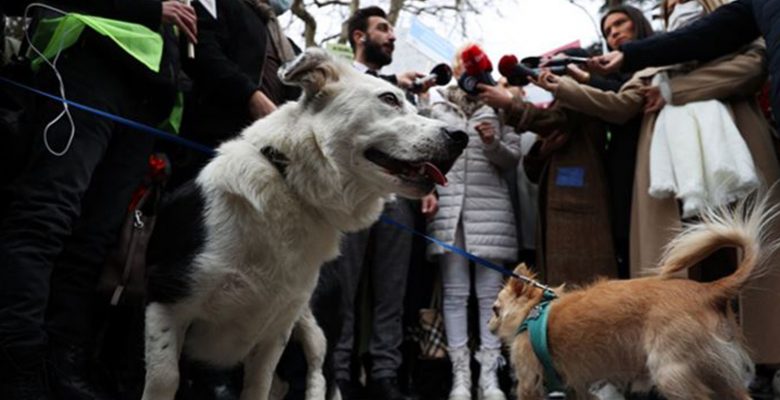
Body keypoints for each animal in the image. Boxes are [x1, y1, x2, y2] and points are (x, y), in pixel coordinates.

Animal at [140, 47, 466, 400]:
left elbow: (258, 387)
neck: (292, 187)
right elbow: (164, 379)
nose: (461, 137)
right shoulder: (167, 301)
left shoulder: (275, 332)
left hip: (315, 326)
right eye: (389, 98)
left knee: (318, 377)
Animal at [488, 203, 772, 400]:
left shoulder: (528, 382)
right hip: (718, 373)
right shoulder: (577, 386)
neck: (532, 311)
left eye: (494, 309)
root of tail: (709, 291)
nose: (488, 324)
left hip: (671, 372)